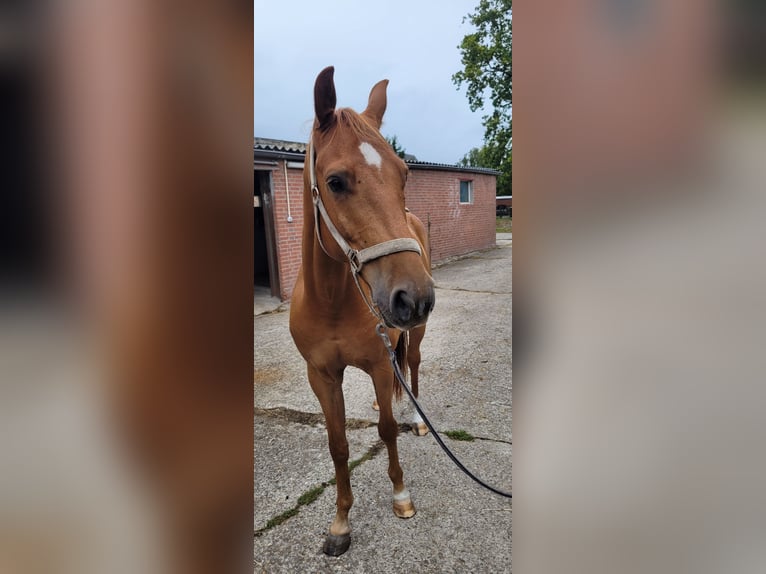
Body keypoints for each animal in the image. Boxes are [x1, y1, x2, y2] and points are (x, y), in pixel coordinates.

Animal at [289, 66, 435, 556]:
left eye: (404, 174)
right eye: (335, 181)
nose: (414, 297)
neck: (332, 300)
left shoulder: (377, 360)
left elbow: (387, 431)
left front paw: (401, 496)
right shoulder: (321, 374)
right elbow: (337, 445)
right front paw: (340, 523)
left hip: (414, 336)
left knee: (411, 368)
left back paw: (417, 421)